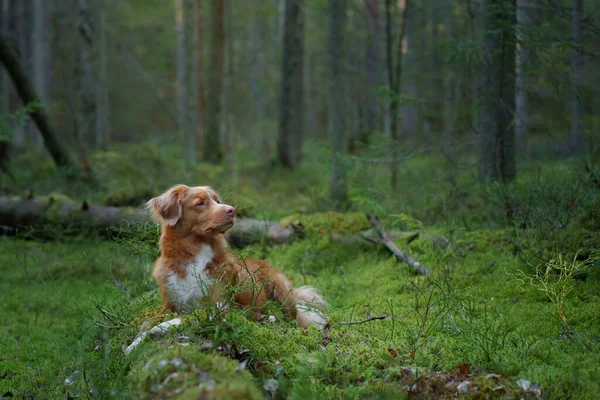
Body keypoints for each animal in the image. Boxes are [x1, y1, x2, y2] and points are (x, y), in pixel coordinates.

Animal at [148, 184, 330, 328]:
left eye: (217, 201)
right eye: (200, 203)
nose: (232, 210)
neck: (195, 254)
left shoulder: (219, 306)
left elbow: (187, 316)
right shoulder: (170, 303)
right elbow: (151, 320)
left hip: (283, 292)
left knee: (294, 317)